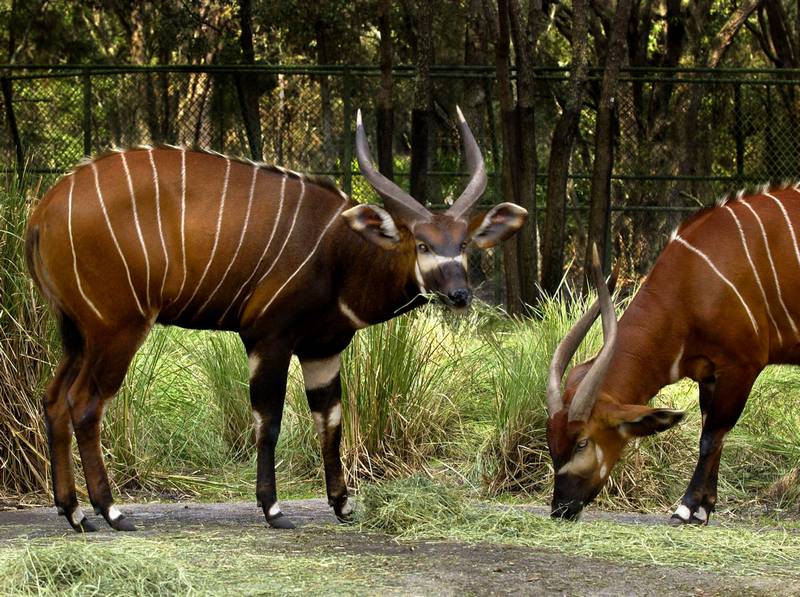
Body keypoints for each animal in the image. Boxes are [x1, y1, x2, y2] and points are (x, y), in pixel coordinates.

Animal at [25, 107, 526, 532]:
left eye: (463, 243)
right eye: (422, 244)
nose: (459, 294)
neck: (340, 252)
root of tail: (42, 211)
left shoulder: (323, 348)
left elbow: (330, 419)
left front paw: (343, 504)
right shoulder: (268, 337)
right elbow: (269, 421)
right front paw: (273, 509)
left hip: (76, 333)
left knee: (53, 400)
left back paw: (73, 512)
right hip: (116, 327)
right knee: (85, 403)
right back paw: (111, 512)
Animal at [548, 185, 800, 524]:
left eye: (582, 442)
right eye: (550, 440)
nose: (560, 508)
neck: (691, 280)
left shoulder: (741, 366)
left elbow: (711, 436)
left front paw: (687, 508)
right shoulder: (709, 373)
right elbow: (711, 432)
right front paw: (704, 507)